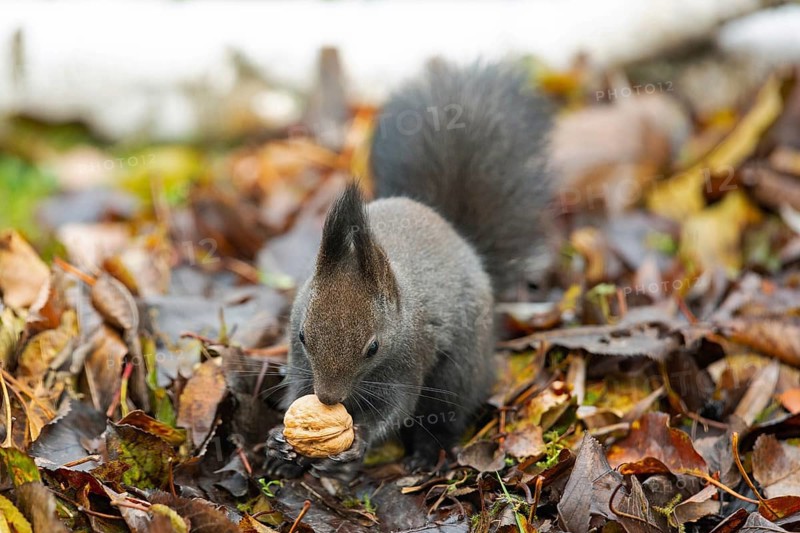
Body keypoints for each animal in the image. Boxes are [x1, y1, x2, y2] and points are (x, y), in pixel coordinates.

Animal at [266, 62, 553, 479]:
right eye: (303, 336)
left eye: (373, 347)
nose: (329, 398)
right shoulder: (300, 360)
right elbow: (296, 390)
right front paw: (280, 444)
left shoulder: (408, 358)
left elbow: (397, 407)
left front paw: (359, 442)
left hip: (458, 372)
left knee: (447, 413)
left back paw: (428, 455)